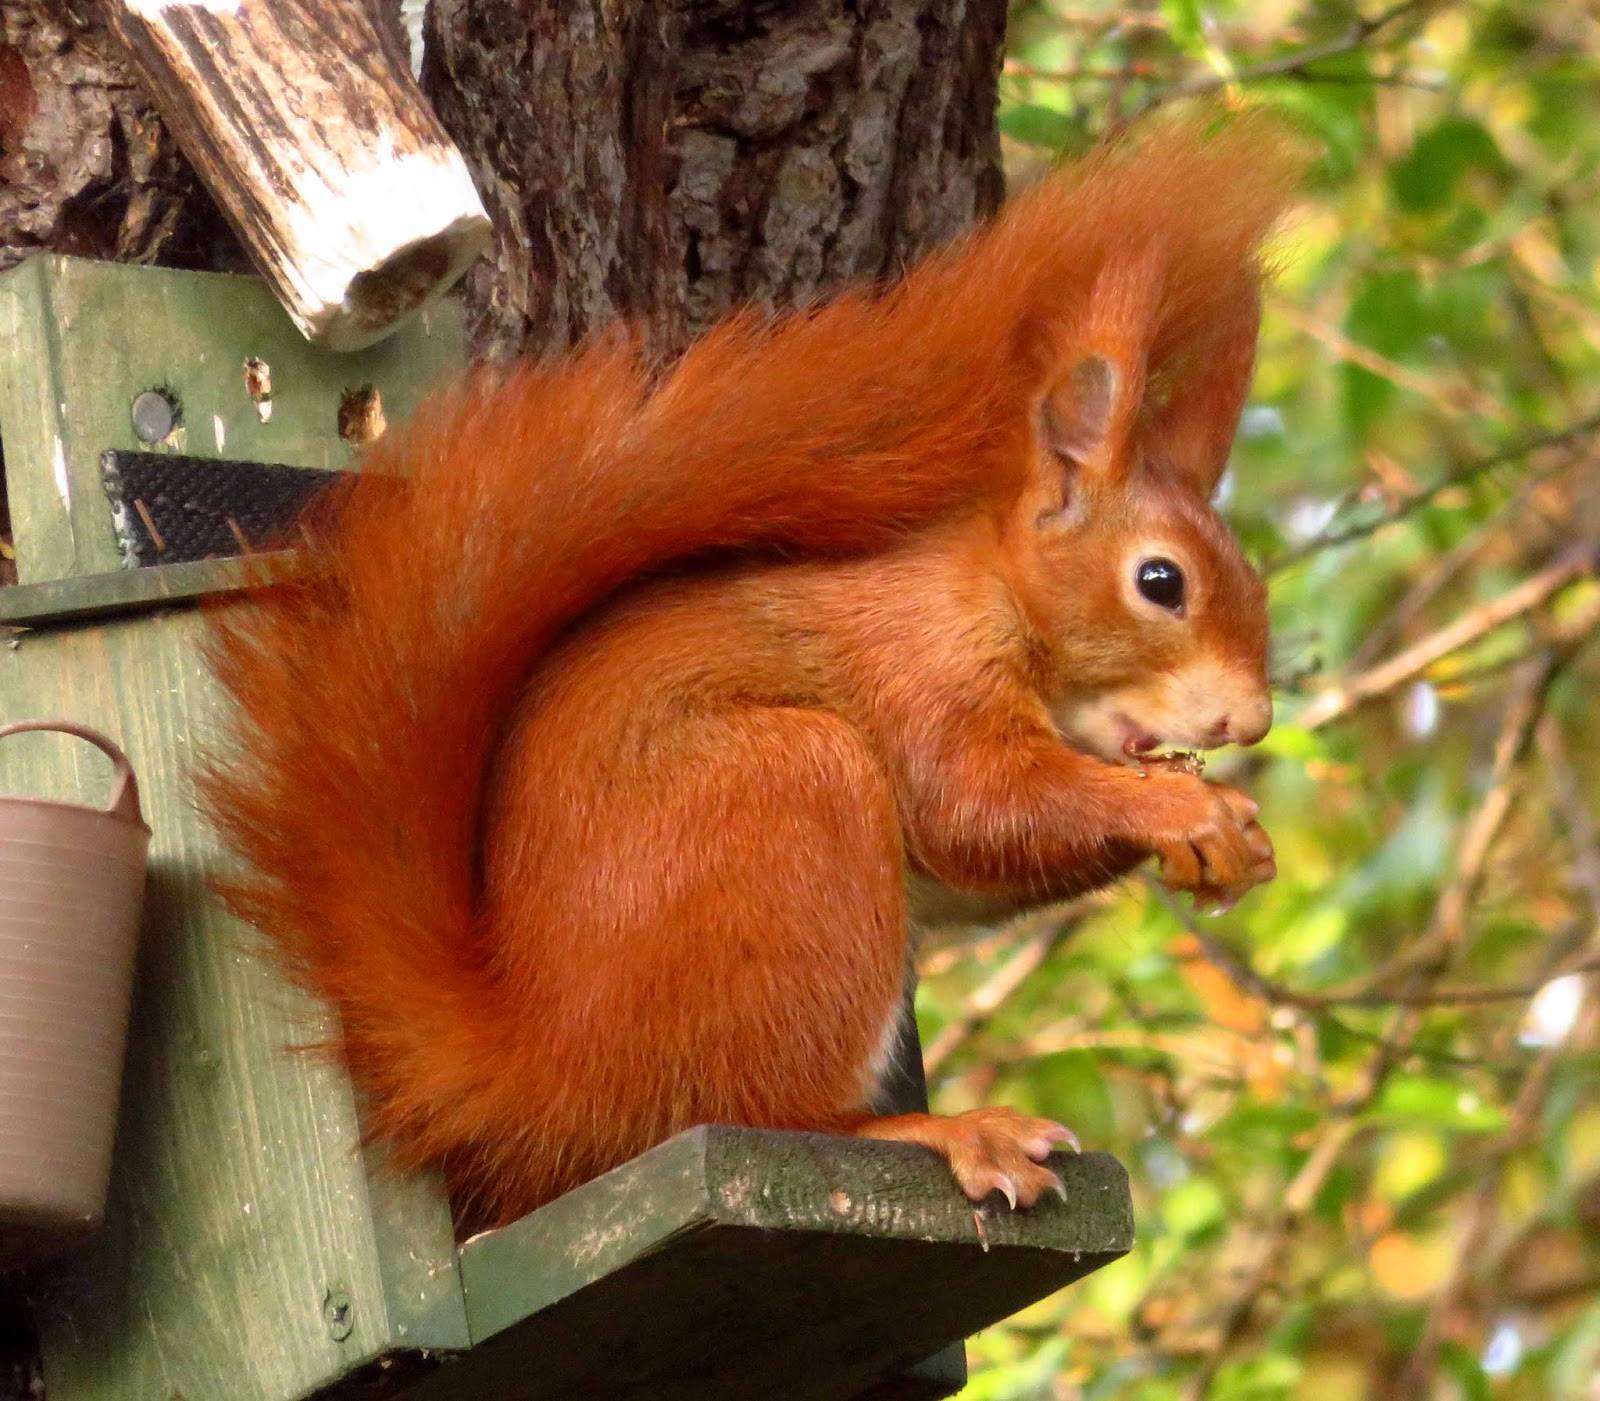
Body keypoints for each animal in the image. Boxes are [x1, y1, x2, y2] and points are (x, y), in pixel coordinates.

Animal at [200, 111, 1299, 1228]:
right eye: (1160, 582)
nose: (1249, 722)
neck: (990, 594)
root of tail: (538, 1074)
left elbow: (978, 869)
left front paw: (1236, 837)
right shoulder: (922, 670)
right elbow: (979, 807)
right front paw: (1180, 809)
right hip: (790, 807)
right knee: (774, 1110)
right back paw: (939, 1130)